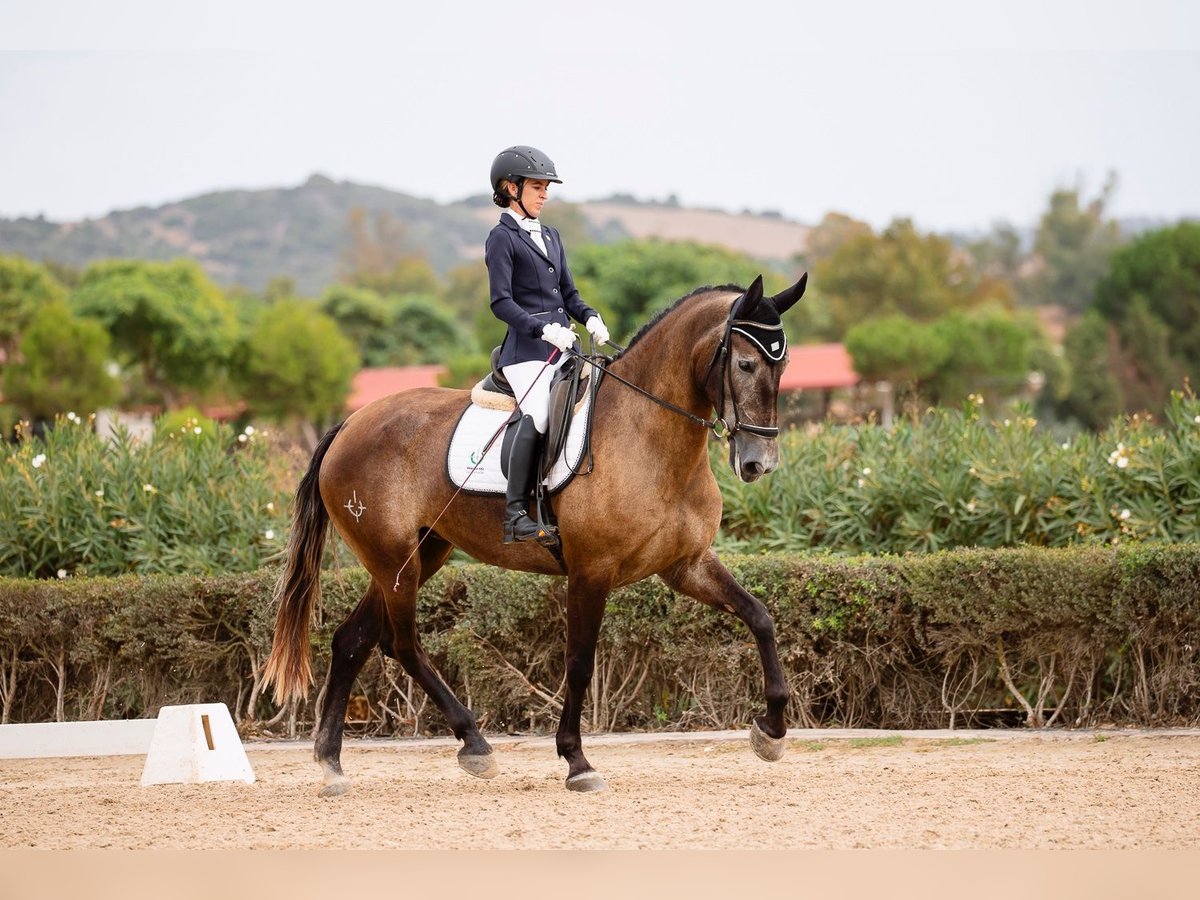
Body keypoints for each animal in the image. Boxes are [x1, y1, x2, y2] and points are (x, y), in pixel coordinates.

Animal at [262, 273, 806, 796]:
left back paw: (332, 764)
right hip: (396, 560)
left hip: (414, 556)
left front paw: (771, 731)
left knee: (352, 641)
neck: (649, 433)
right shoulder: (591, 572)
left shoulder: (685, 565)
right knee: (401, 644)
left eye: (782, 366)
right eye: (745, 364)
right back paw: (475, 744)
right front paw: (577, 761)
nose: (759, 463)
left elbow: (760, 617)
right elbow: (580, 662)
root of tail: (350, 423)